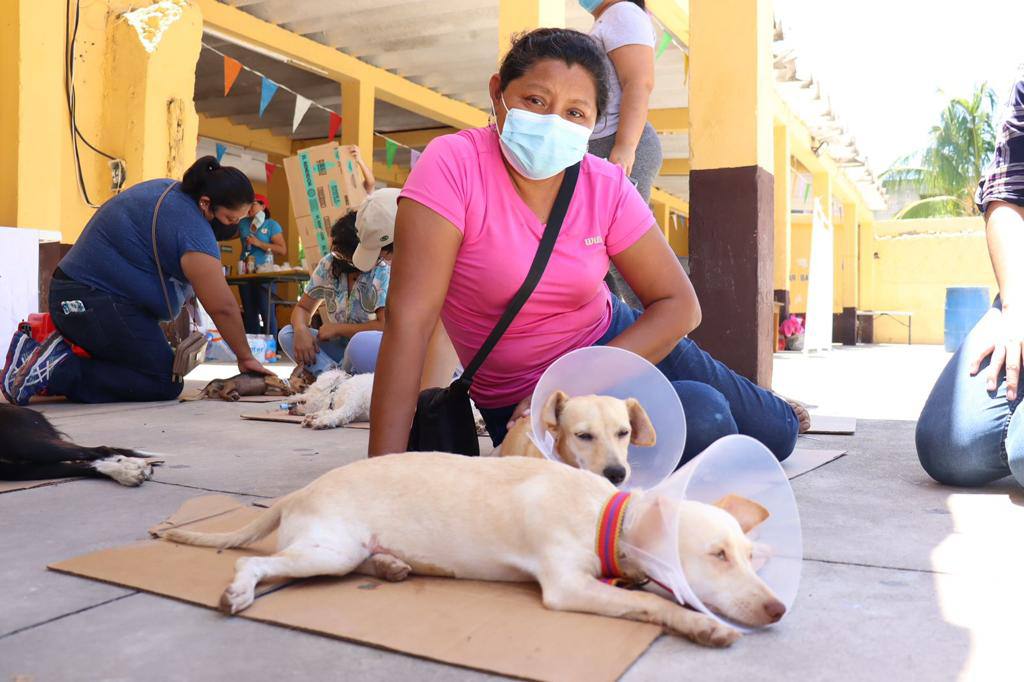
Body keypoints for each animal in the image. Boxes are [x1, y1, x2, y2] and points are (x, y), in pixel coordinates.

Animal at [1, 401, 156, 485]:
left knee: (98, 450)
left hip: (26, 444)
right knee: (82, 462)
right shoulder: (13, 471)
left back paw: (133, 464)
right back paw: (126, 471)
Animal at [161, 450, 782, 647]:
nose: (777, 608)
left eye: (747, 555)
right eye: (717, 556)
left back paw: (393, 565)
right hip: (325, 551)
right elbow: (651, 602)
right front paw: (701, 624)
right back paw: (239, 590)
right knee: (254, 561)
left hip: (340, 550)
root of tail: (299, 492)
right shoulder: (566, 587)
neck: (604, 515)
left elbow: (645, 593)